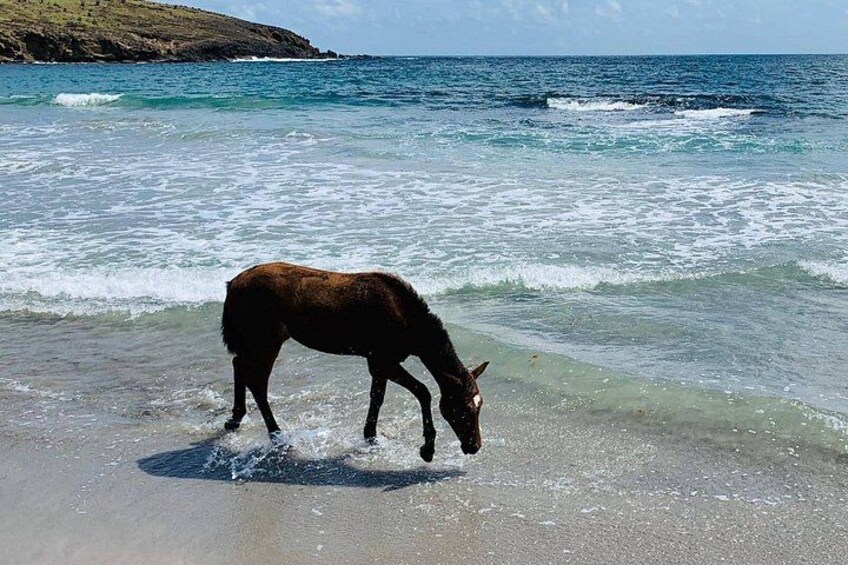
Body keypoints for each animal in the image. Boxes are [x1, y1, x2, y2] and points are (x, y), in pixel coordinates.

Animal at [220, 262, 488, 462]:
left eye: (479, 405)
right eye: (462, 409)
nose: (474, 446)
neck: (407, 319)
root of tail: (231, 284)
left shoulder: (378, 363)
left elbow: (377, 398)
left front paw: (370, 436)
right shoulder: (383, 361)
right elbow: (423, 392)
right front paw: (427, 449)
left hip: (256, 343)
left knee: (238, 365)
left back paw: (235, 418)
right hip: (266, 343)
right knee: (257, 383)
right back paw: (276, 433)